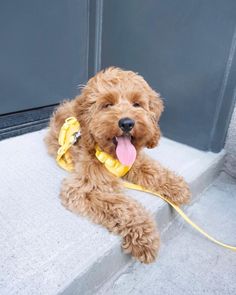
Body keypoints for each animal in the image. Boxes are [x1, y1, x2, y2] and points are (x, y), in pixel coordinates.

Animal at [45, 68, 191, 264]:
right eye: (107, 105)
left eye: (137, 104)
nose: (127, 123)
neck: (112, 156)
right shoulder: (84, 188)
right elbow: (122, 206)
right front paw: (144, 237)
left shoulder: (136, 161)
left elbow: (154, 170)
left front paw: (177, 187)